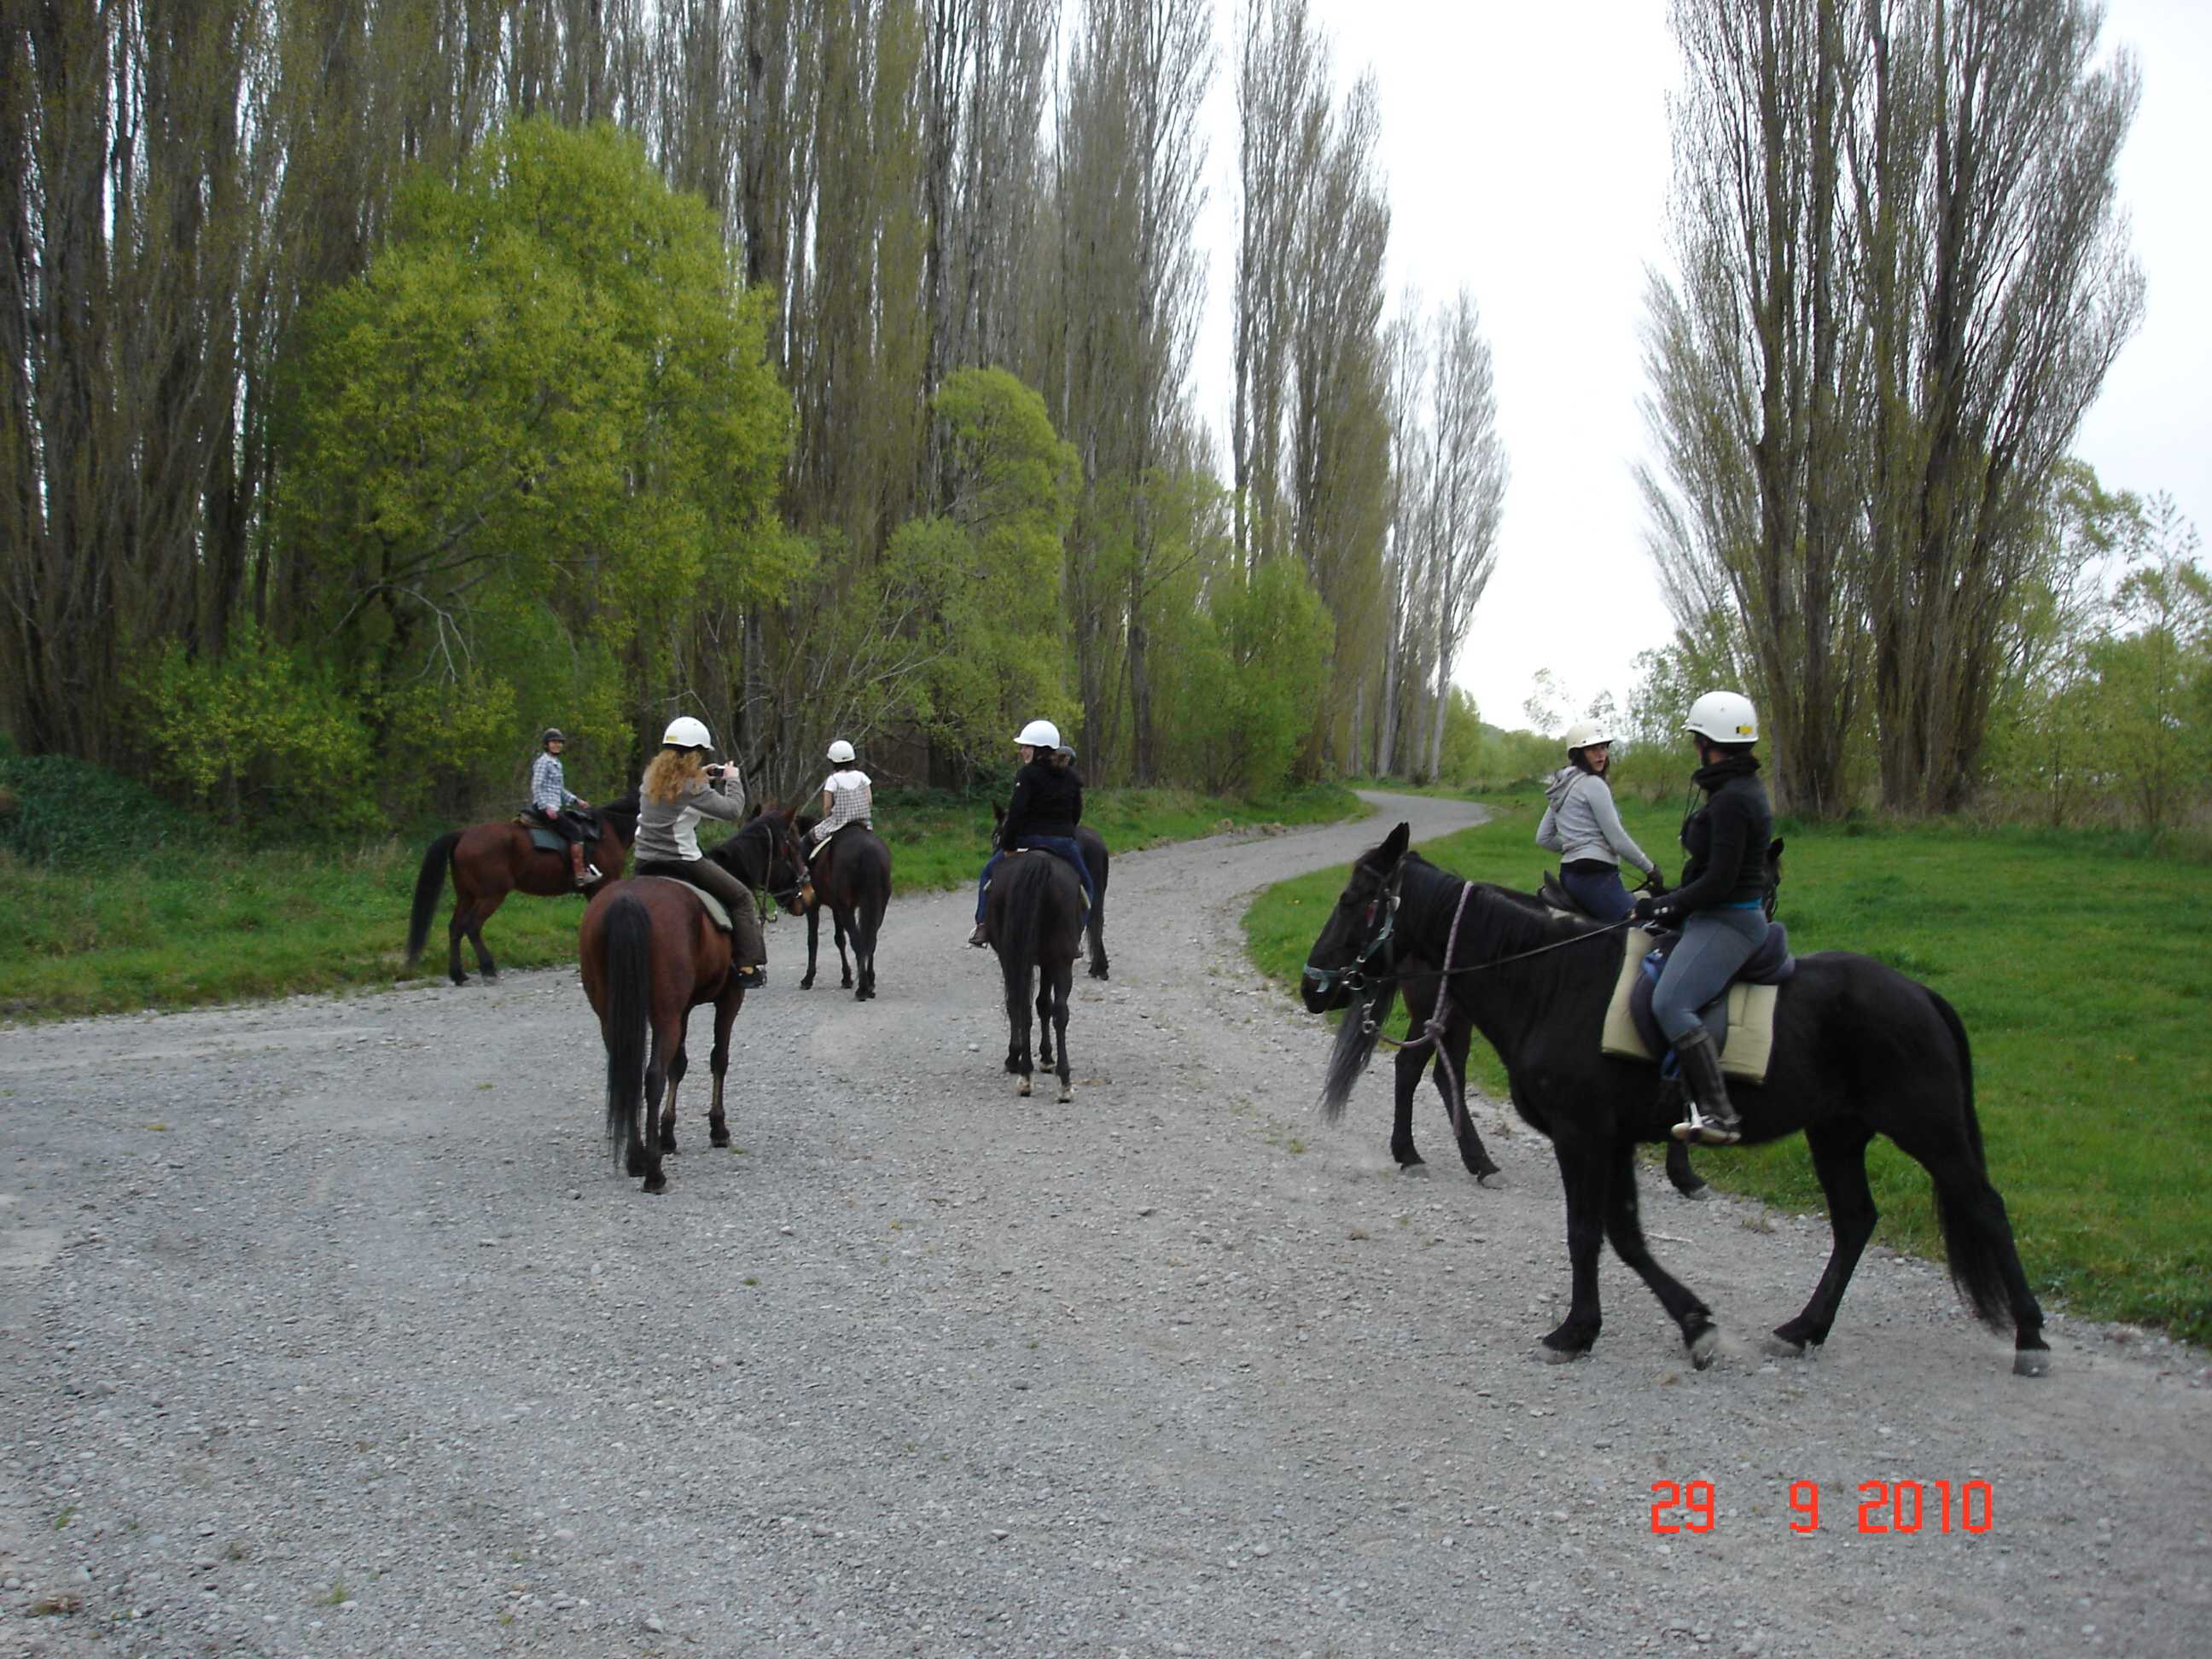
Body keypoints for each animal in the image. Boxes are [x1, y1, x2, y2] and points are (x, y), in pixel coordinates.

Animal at [405, 796, 641, 987]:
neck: (610, 829)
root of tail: (463, 834)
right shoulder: (604, 884)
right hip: (491, 895)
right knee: (472, 926)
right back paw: (488, 970)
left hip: (466, 895)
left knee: (455, 927)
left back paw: (458, 975)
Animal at [579, 876, 752, 1203]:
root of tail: (628, 899)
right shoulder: (730, 998)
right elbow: (718, 1059)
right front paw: (718, 1127)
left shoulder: (682, 1010)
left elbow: (679, 1065)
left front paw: (667, 1135)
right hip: (666, 1016)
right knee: (653, 1077)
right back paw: (654, 1174)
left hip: (612, 1016)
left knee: (628, 1075)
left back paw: (637, 1158)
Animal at [987, 858, 1088, 1106]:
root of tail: (1039, 862)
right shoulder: (1047, 962)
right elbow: (1044, 1005)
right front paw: (1046, 1056)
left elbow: (1027, 1005)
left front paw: (1018, 1056)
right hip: (1060, 959)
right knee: (1059, 1011)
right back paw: (1064, 1083)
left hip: (1018, 956)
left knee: (1022, 1006)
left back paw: (1025, 1074)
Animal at [1301, 827, 2044, 1380]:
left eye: (1353, 898)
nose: (1314, 986)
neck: (1552, 979)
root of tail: (1920, 994)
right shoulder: (1612, 1137)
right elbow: (1624, 1235)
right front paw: (1689, 1323)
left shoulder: (1584, 1133)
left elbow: (1586, 1232)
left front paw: (1577, 1330)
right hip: (1837, 1133)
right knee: (1857, 1221)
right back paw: (1806, 1328)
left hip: (1926, 1127)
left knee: (1983, 1207)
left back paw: (2031, 1338)